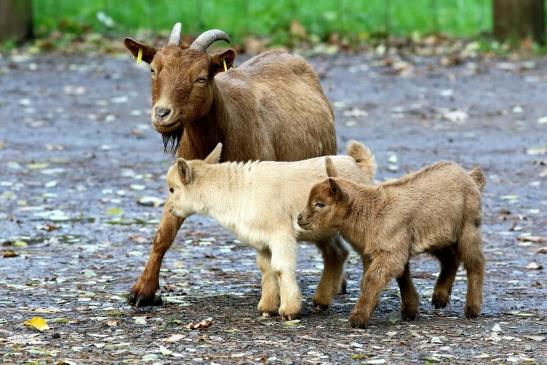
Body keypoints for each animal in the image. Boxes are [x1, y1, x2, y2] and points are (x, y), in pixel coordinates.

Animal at [124, 23, 338, 308]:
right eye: (153, 70)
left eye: (201, 78)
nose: (162, 114)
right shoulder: (182, 181)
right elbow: (164, 234)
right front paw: (142, 291)